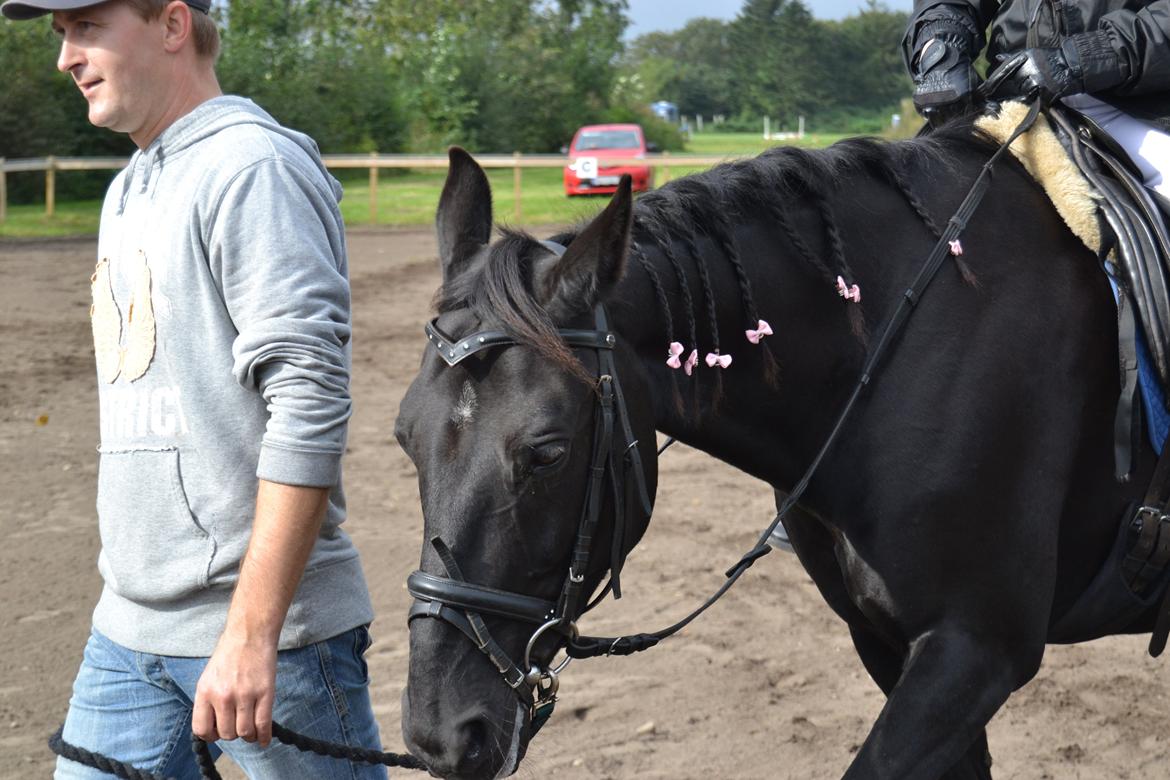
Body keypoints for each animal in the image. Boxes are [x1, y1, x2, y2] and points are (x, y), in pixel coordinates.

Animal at [395, 130, 1160, 776]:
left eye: (548, 452)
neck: (895, 356)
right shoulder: (885, 639)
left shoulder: (976, 649)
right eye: (405, 436)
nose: (442, 734)